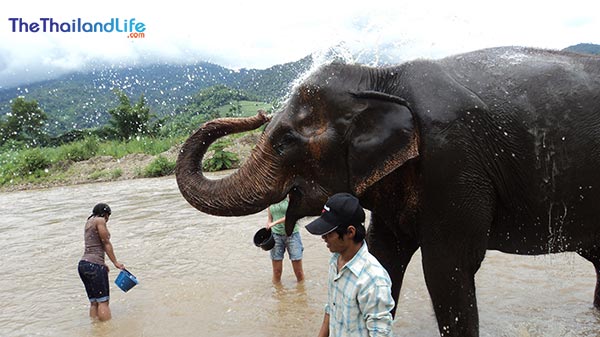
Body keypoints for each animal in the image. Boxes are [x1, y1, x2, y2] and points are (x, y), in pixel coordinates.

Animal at [176, 46, 600, 336]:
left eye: (284, 142)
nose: (259, 113)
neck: (380, 78)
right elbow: (383, 256)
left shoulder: (453, 161)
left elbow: (447, 269)